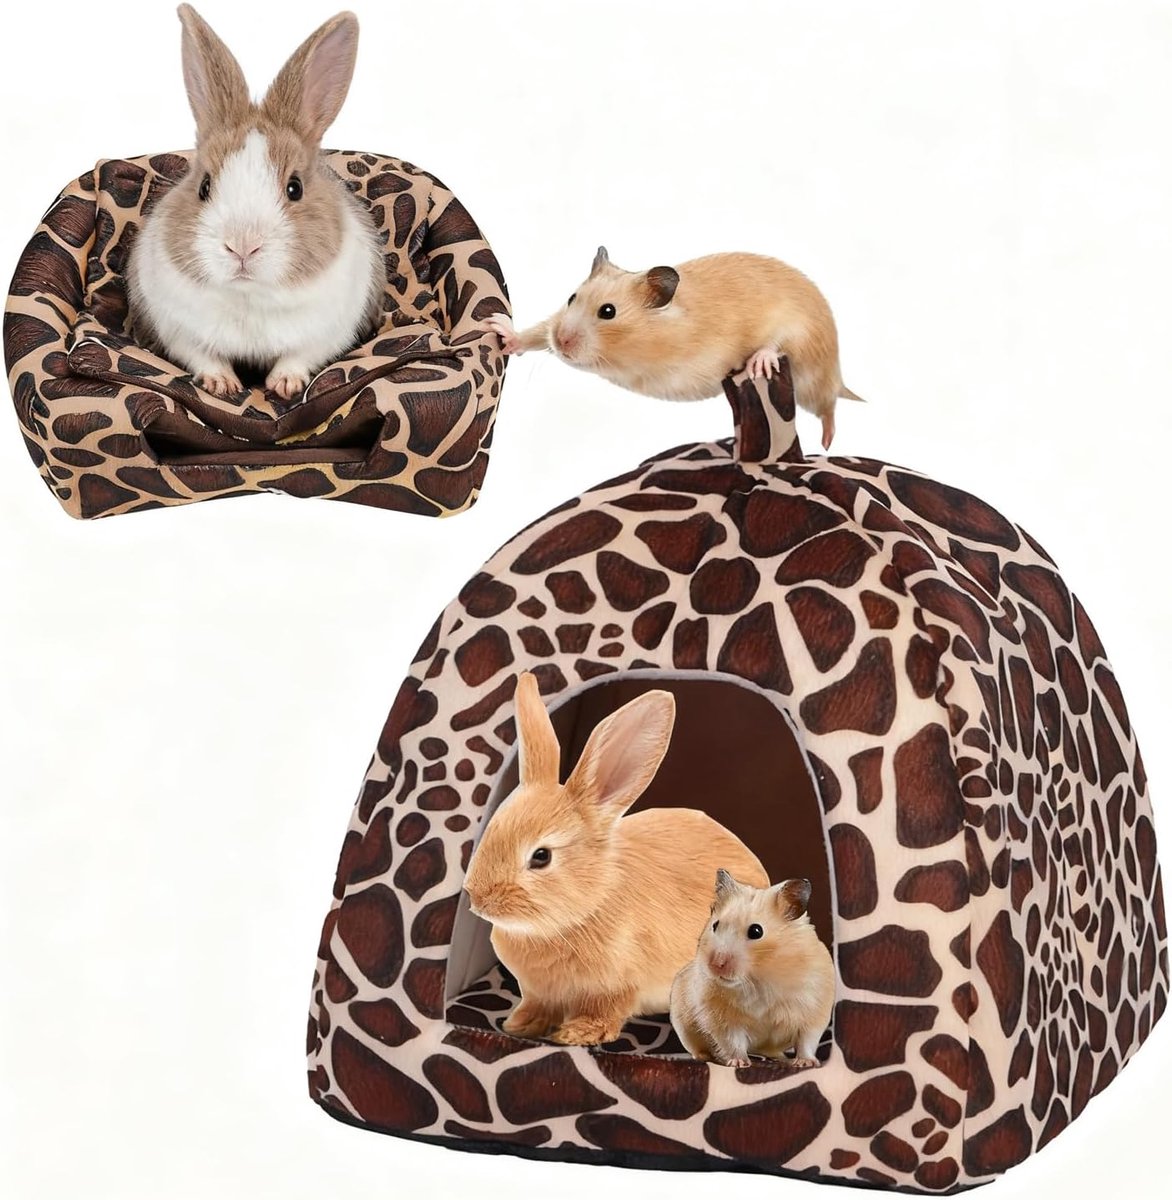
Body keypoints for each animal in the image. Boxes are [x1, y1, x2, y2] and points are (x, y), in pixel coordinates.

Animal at [486, 247, 861, 448]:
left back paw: (826, 443)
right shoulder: (553, 324)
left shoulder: (787, 324)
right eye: (571, 298)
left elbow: (775, 340)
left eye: (608, 312)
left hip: (813, 369)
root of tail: (839, 371)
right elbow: (536, 333)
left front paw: (758, 361)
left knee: (829, 406)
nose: (562, 342)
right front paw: (498, 328)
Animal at [670, 870, 835, 1068]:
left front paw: (805, 1063)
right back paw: (707, 1057)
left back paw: (782, 1059)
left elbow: (806, 1041)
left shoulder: (814, 1011)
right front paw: (738, 1063)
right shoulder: (723, 1020)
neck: (759, 977)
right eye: (715, 925)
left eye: (756, 931)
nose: (716, 965)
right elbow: (733, 1042)